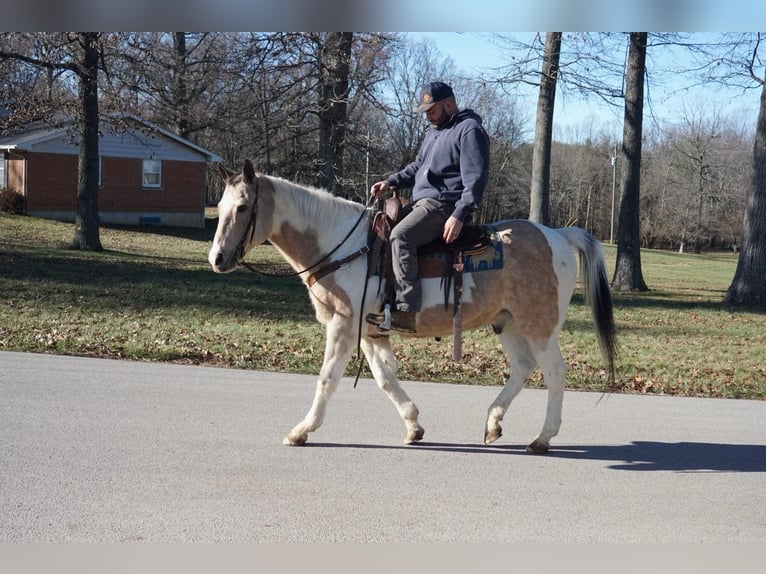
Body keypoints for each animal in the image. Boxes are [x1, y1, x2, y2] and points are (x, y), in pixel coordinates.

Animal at [208, 160, 617, 453]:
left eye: (242, 207)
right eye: (221, 205)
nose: (217, 259)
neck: (344, 246)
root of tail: (558, 234)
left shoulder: (343, 325)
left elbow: (327, 378)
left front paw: (301, 431)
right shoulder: (370, 330)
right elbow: (385, 379)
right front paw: (413, 425)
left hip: (539, 326)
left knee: (554, 373)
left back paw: (542, 438)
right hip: (510, 324)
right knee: (522, 368)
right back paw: (493, 422)